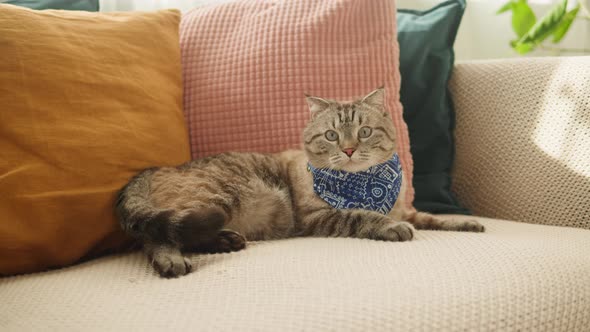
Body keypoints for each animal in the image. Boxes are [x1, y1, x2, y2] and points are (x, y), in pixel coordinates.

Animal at [117, 87, 486, 278]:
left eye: (365, 131)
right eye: (332, 135)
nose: (349, 149)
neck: (365, 184)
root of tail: (147, 172)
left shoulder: (407, 209)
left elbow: (434, 217)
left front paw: (466, 223)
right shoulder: (318, 218)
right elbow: (363, 216)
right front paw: (389, 227)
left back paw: (226, 240)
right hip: (217, 199)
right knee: (155, 237)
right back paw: (172, 260)